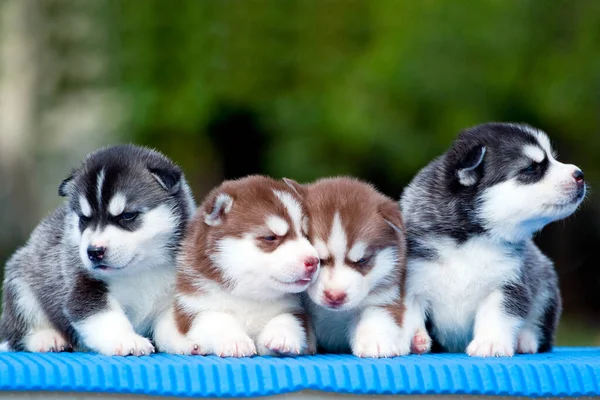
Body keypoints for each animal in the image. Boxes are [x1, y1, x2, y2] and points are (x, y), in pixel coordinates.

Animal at [0, 145, 195, 354]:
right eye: (84, 219)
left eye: (127, 215)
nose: (94, 252)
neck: (140, 270)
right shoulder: (84, 288)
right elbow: (107, 318)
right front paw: (126, 339)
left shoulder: (174, 296)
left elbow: (172, 323)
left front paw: (184, 340)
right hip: (20, 283)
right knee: (19, 330)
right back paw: (46, 338)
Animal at [157, 175, 322, 356]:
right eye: (270, 238)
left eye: (306, 235)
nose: (313, 261)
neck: (248, 296)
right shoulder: (193, 308)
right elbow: (217, 319)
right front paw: (235, 341)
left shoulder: (294, 308)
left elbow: (288, 319)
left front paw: (281, 336)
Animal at [300, 177, 412, 358]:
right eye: (320, 260)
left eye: (362, 260)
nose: (335, 296)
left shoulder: (385, 295)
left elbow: (378, 313)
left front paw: (376, 341)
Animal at [398, 122, 584, 356]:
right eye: (531, 168)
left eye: (552, 157)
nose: (580, 174)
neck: (469, 240)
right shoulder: (413, 280)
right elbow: (409, 313)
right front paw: (412, 339)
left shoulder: (507, 282)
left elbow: (499, 314)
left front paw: (491, 342)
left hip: (545, 281)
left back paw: (524, 340)